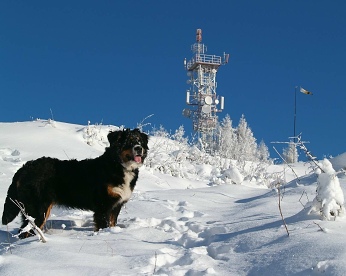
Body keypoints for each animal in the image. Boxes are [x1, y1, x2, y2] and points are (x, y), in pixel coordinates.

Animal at [1, 128, 148, 238]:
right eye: (128, 142)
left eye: (140, 141)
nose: (139, 148)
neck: (117, 165)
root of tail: (24, 167)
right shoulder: (103, 205)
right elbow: (103, 225)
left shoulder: (116, 205)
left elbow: (112, 224)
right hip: (39, 208)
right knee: (26, 231)